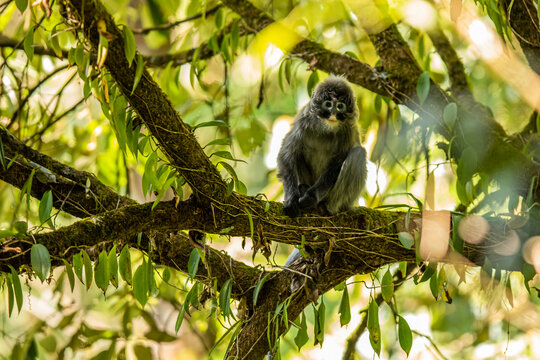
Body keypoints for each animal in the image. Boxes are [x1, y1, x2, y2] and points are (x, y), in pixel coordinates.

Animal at [276, 76, 370, 268]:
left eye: (340, 106)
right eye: (328, 104)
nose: (333, 113)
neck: (327, 128)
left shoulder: (348, 129)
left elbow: (338, 163)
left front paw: (311, 197)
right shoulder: (303, 119)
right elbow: (287, 153)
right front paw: (291, 198)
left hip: (343, 201)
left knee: (358, 153)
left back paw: (324, 206)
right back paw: (302, 189)